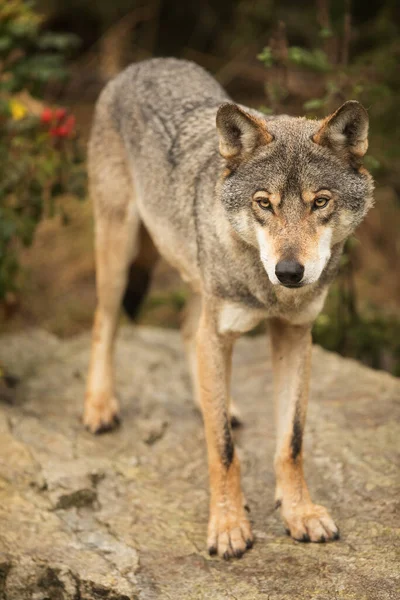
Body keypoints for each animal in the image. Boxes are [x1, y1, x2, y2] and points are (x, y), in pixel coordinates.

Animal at [83, 58, 374, 560]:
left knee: (185, 332)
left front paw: (299, 513)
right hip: (120, 252)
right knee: (105, 321)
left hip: (197, 284)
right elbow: (223, 449)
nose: (290, 272)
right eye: (264, 204)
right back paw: (100, 406)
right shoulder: (220, 333)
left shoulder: (295, 335)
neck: (269, 292)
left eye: (320, 201)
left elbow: (291, 442)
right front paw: (227, 524)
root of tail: (145, 63)